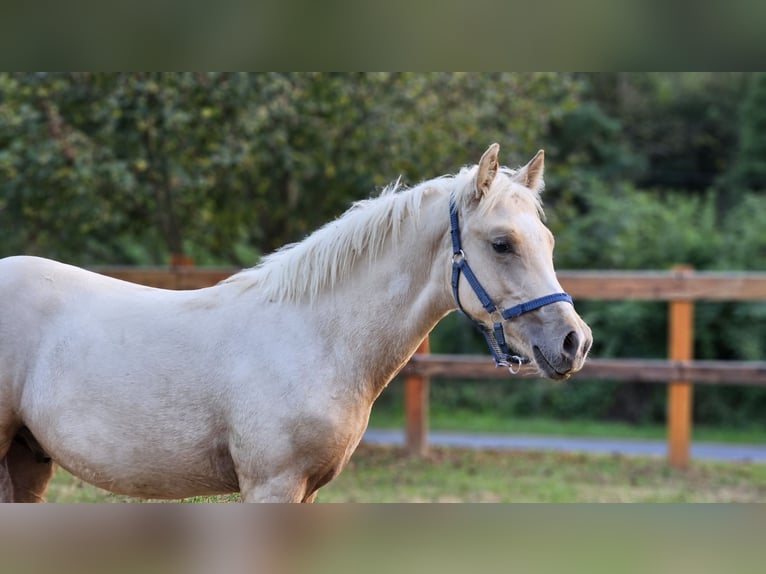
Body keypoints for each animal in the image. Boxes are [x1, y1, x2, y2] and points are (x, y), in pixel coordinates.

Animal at [0, 144, 592, 504]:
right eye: (502, 243)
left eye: (547, 241)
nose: (574, 342)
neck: (315, 338)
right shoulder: (270, 485)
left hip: (27, 461)